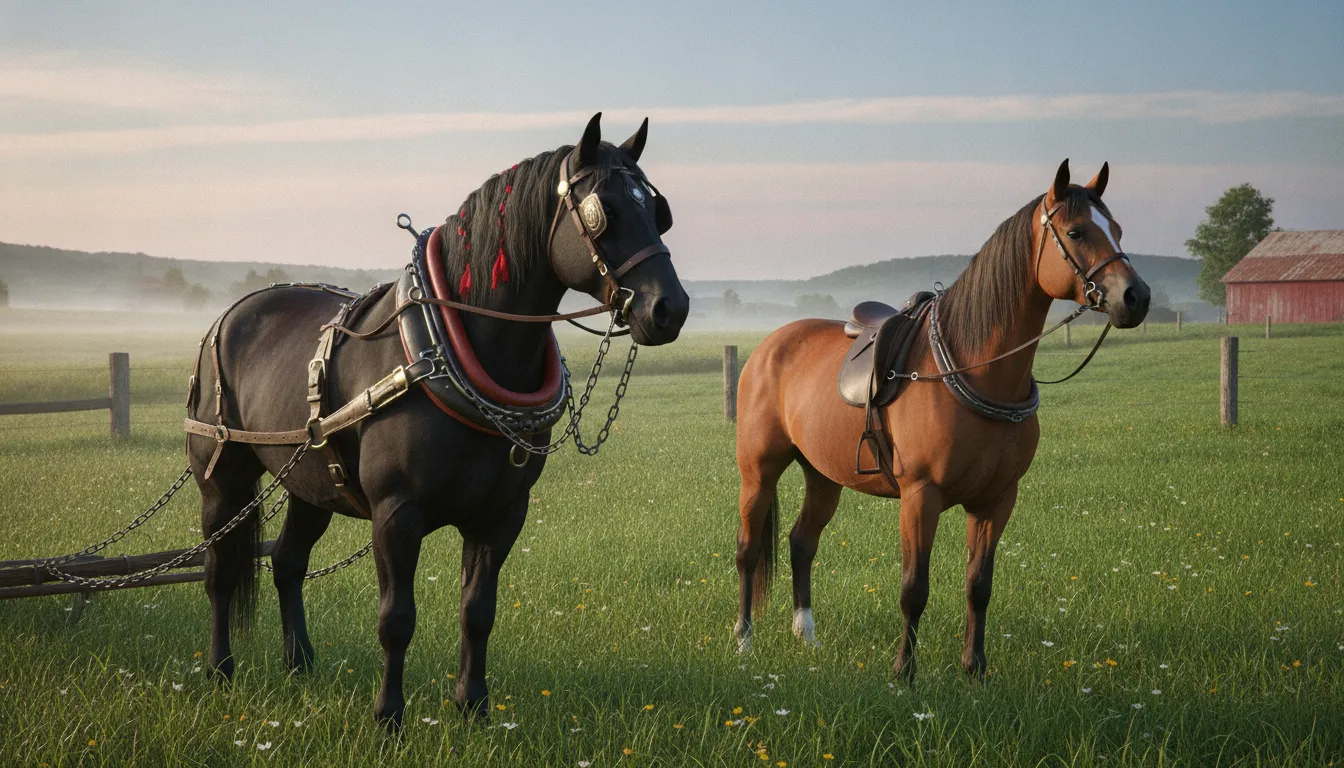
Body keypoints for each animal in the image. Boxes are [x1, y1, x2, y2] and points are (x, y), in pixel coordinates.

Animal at [185, 113, 689, 728]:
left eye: (657, 211)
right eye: (604, 210)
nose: (670, 308)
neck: (451, 345)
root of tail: (229, 316)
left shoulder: (502, 514)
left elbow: (478, 611)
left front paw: (473, 707)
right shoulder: (396, 514)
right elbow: (396, 619)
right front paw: (388, 717)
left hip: (310, 482)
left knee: (286, 562)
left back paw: (299, 662)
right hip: (222, 478)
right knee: (220, 570)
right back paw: (220, 669)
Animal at [732, 160, 1150, 682]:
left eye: (1117, 229)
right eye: (1076, 231)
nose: (1136, 297)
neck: (974, 368)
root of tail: (768, 347)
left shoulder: (997, 499)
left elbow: (978, 585)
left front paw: (974, 668)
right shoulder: (920, 496)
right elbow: (914, 589)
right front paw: (903, 672)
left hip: (823, 475)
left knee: (802, 543)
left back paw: (805, 636)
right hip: (759, 472)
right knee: (748, 551)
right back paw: (745, 641)